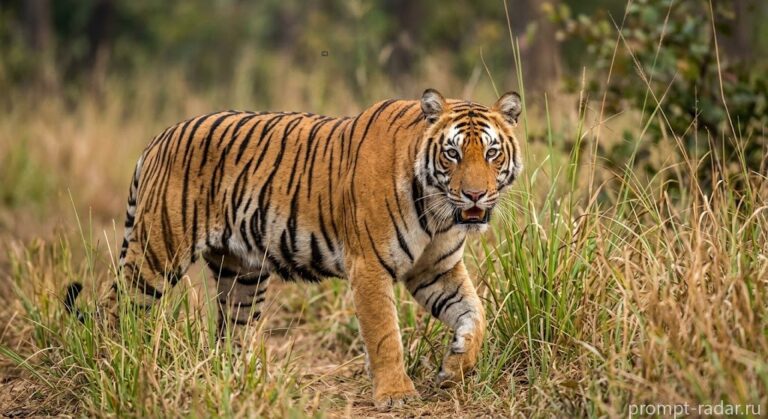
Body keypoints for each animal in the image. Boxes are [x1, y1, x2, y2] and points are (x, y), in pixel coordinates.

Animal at [65, 88, 523, 408]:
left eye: (492, 153)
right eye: (452, 154)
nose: (475, 195)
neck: (438, 212)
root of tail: (159, 138)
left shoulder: (436, 269)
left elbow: (475, 314)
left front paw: (456, 367)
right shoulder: (369, 267)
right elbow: (384, 335)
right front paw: (396, 394)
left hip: (242, 275)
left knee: (229, 335)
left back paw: (238, 385)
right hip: (157, 254)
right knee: (115, 310)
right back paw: (109, 366)